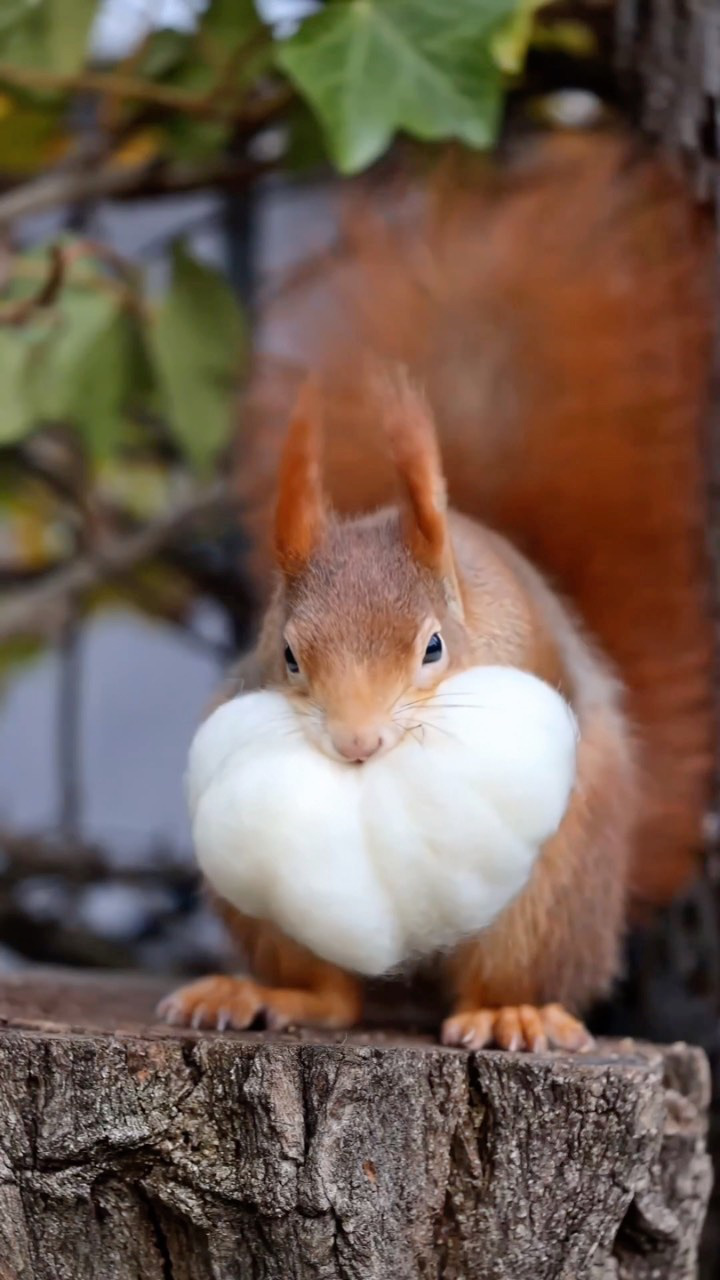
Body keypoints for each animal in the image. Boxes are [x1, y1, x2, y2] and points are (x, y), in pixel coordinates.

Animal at [159, 129, 712, 1049]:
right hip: (269, 918)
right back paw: (265, 994)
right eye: (288, 657)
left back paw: (513, 1010)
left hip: (552, 889)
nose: (359, 745)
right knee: (336, 997)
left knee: (511, 971)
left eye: (433, 649)